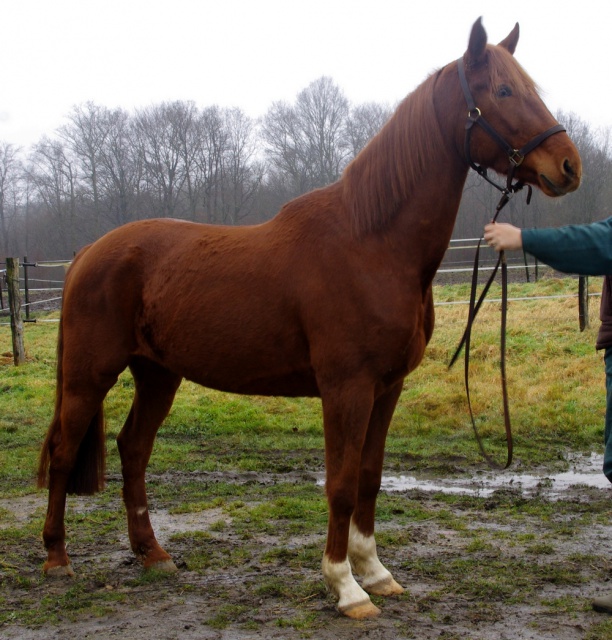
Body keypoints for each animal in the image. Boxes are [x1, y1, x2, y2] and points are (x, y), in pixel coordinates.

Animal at [35, 18, 580, 620]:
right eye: (503, 91)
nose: (568, 165)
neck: (372, 243)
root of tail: (89, 252)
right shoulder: (347, 387)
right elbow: (340, 484)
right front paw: (345, 587)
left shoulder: (387, 387)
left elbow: (369, 478)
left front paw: (377, 573)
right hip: (89, 375)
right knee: (64, 452)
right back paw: (57, 560)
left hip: (157, 374)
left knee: (133, 449)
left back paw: (153, 554)